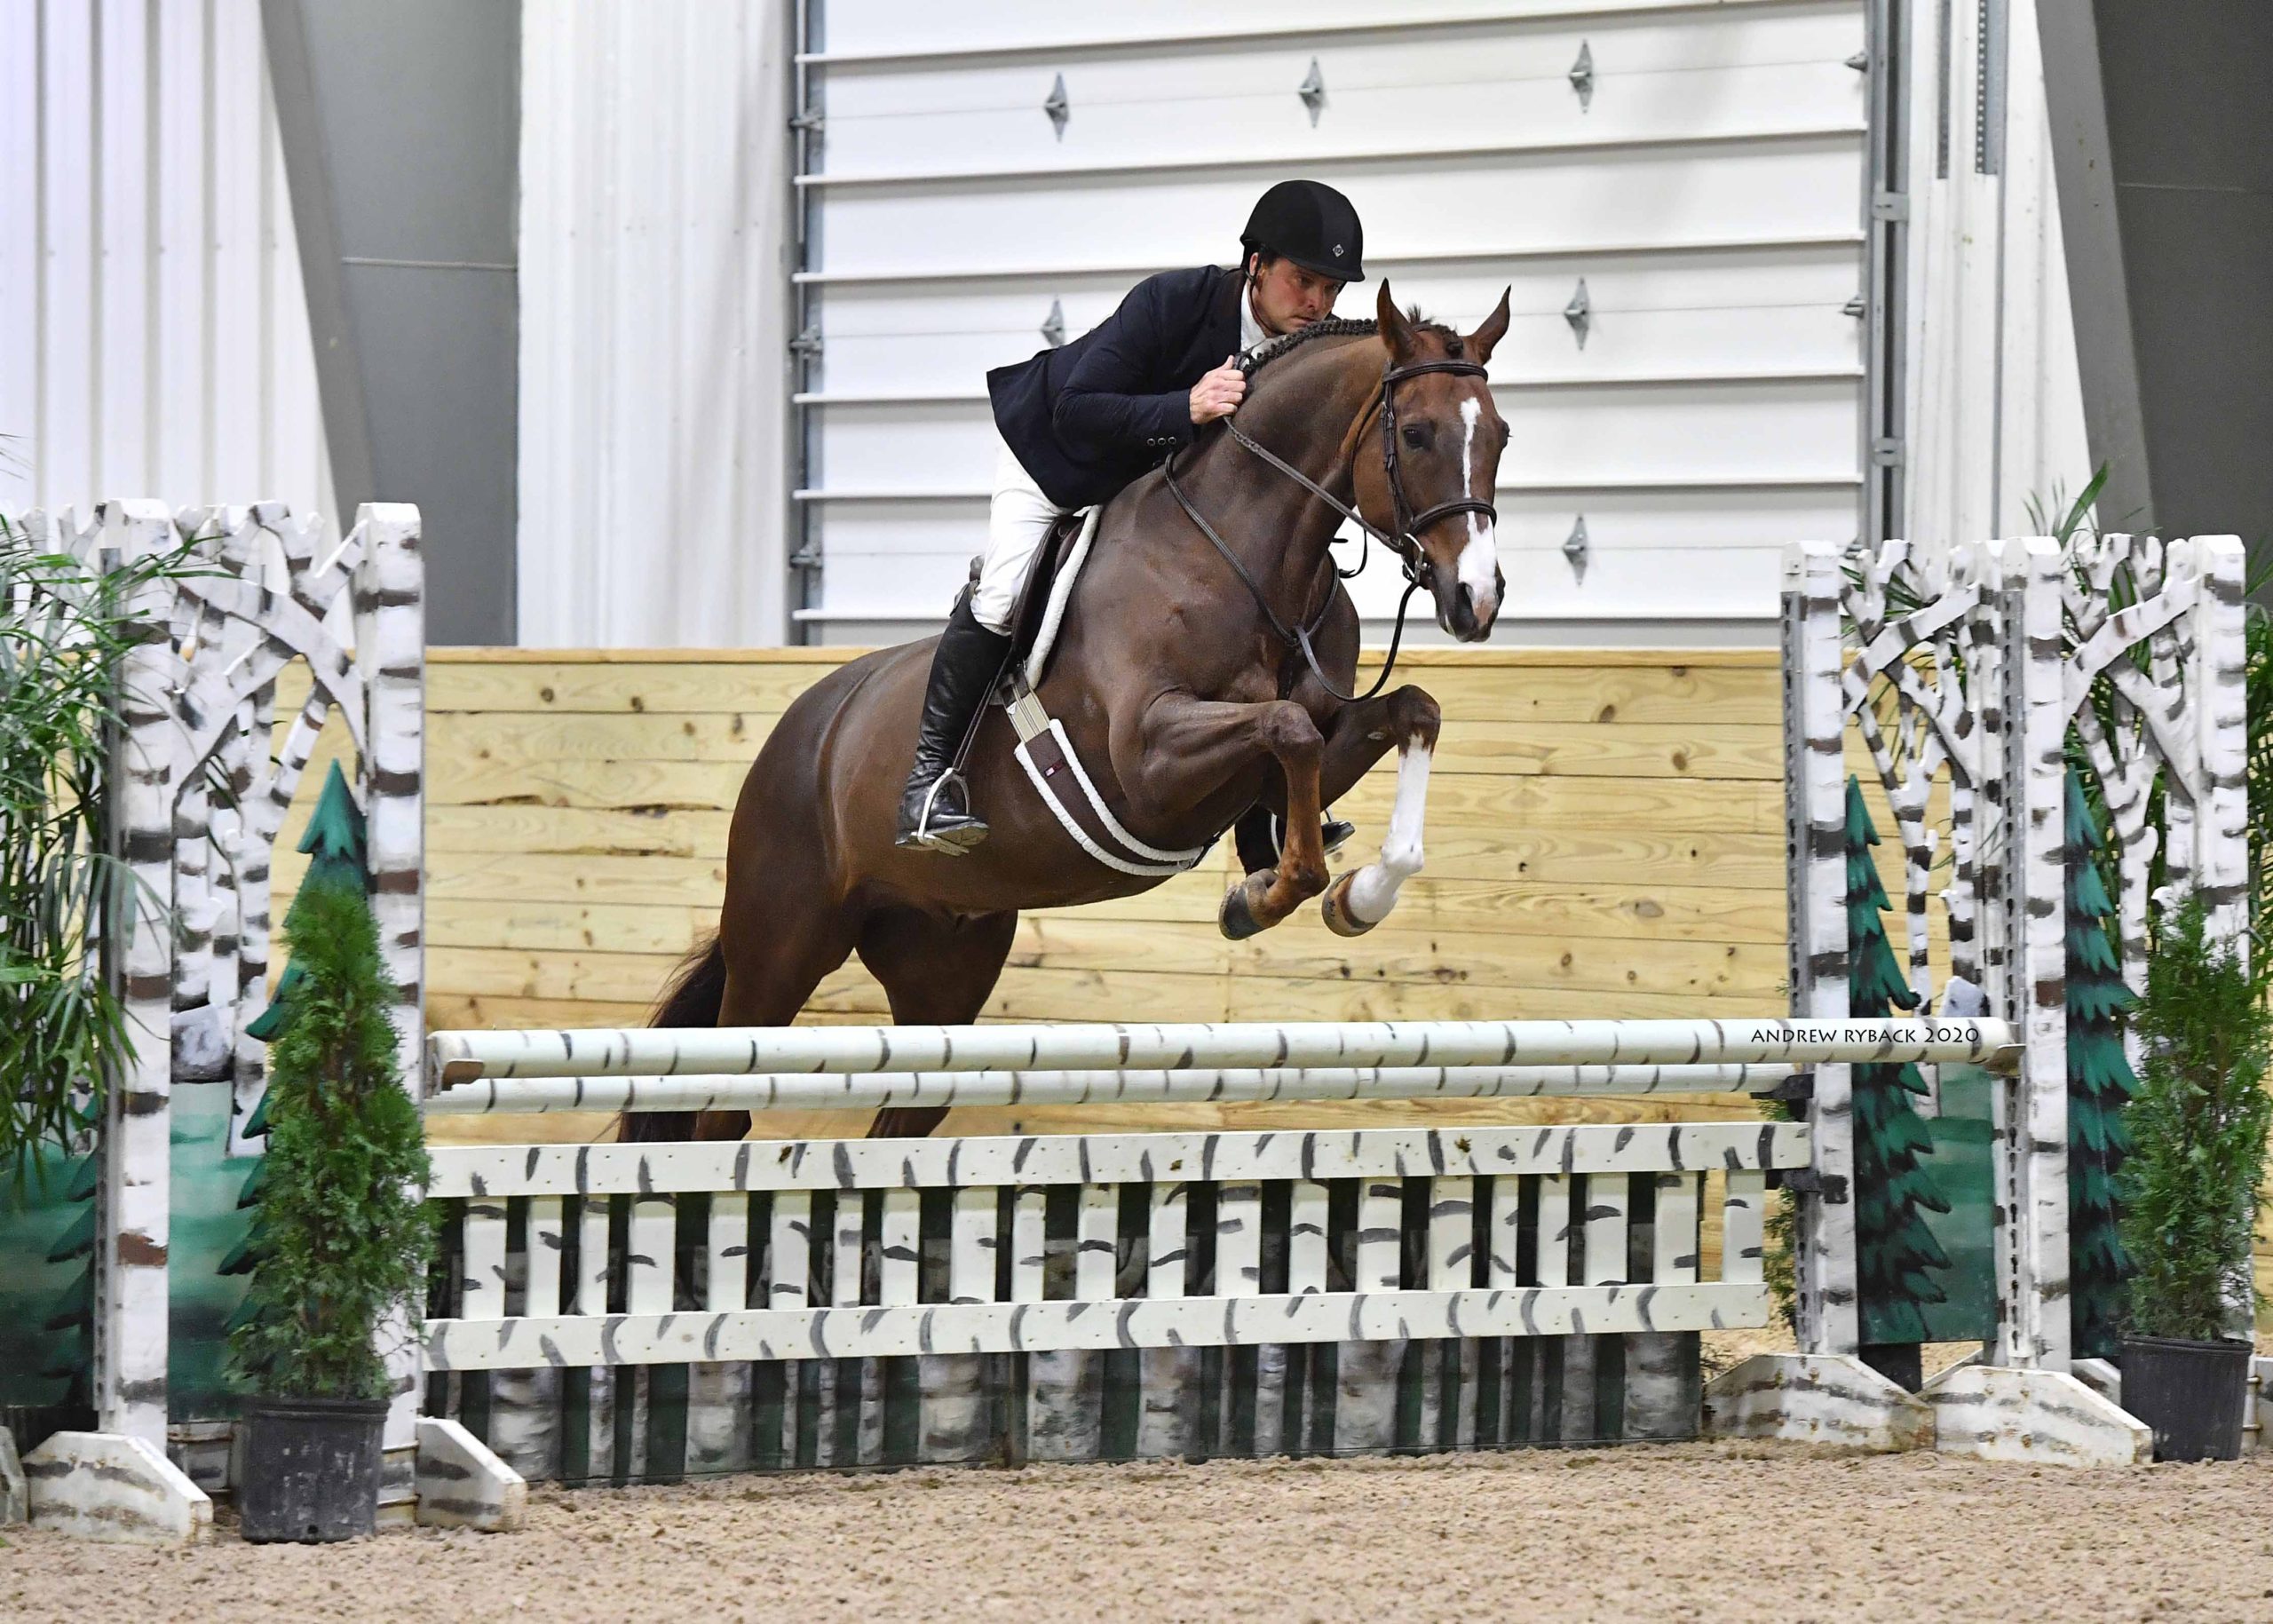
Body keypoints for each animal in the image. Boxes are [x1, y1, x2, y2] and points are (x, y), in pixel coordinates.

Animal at [622, 278, 1509, 1137]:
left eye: (1499, 436)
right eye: (1418, 434)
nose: (1477, 599)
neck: (1247, 555)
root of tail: (801, 733)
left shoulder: (1315, 735)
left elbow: (1408, 711)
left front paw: (1359, 896)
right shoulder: (1147, 763)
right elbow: (1286, 732)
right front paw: (1263, 896)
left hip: (942, 958)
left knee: (907, 1110)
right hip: (782, 943)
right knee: (721, 1108)